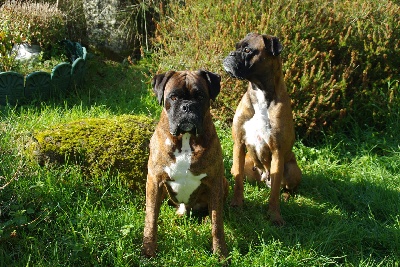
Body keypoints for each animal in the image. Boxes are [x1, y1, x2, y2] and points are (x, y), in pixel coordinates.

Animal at [143, 70, 228, 258]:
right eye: (173, 97)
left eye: (200, 96)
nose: (187, 106)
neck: (186, 139)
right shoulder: (155, 180)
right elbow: (151, 218)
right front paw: (148, 250)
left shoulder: (215, 182)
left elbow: (217, 223)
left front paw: (220, 253)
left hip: (223, 182)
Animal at [222, 33, 300, 226]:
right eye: (236, 47)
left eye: (247, 50)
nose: (231, 54)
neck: (260, 91)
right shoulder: (239, 144)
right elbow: (238, 182)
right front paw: (237, 204)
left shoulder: (277, 152)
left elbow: (274, 194)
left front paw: (274, 216)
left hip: (292, 169)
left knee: (285, 187)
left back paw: (286, 196)